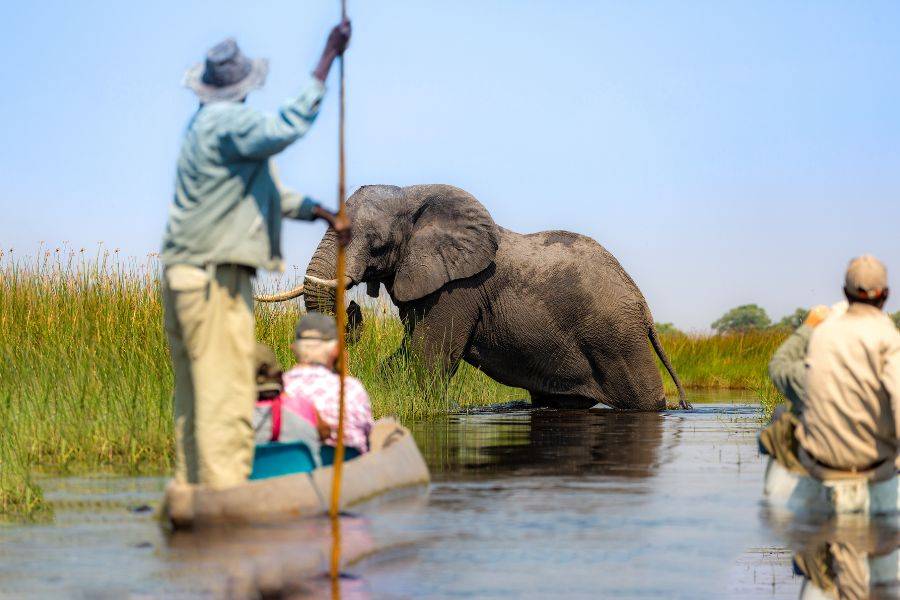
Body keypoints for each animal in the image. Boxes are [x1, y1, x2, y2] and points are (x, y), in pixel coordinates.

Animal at [256, 184, 689, 411]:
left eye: (377, 244)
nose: (354, 306)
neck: (413, 195)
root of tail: (644, 306)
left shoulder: (455, 291)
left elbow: (429, 358)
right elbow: (405, 354)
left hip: (617, 338)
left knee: (644, 400)